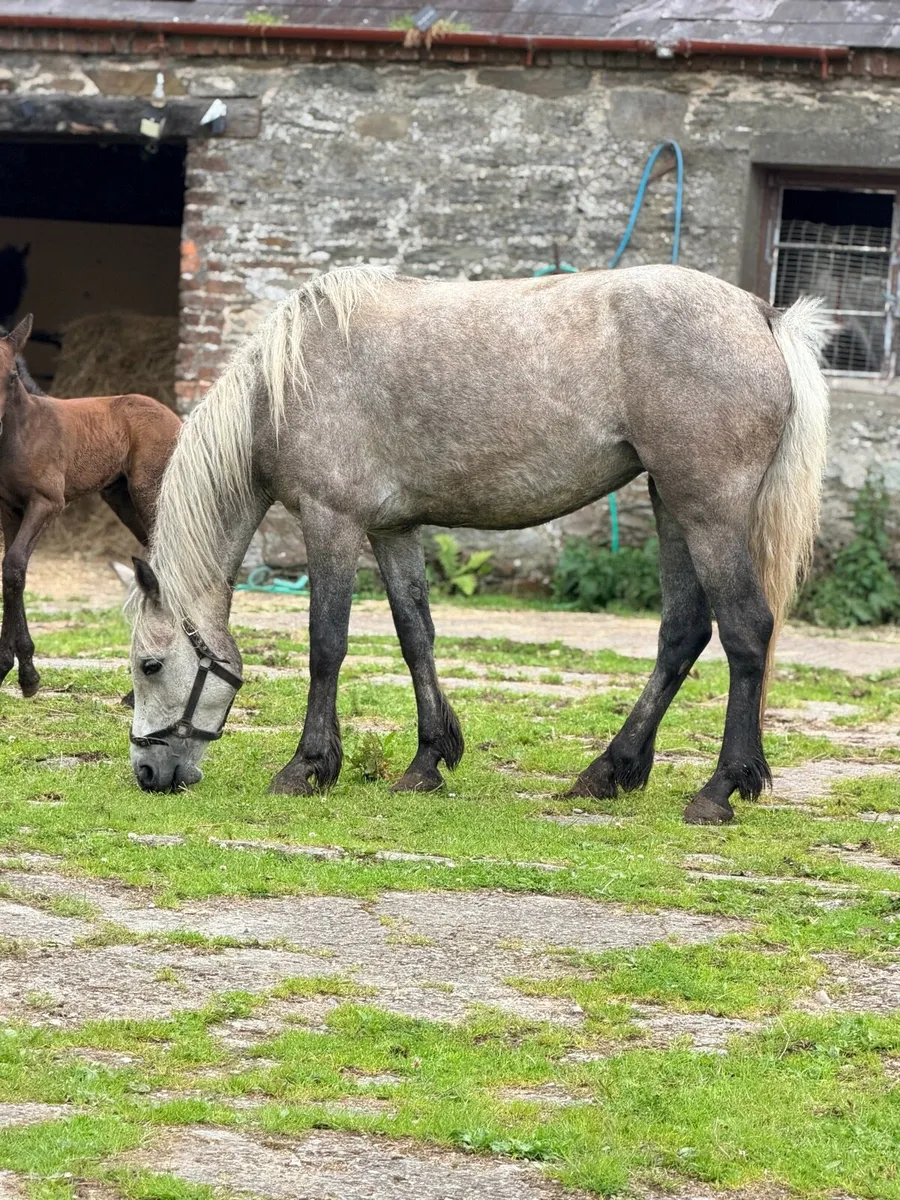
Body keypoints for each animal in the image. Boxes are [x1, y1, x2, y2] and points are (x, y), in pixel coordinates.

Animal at [0, 315, 182, 698]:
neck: (20, 433)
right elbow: (10, 571)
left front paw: (27, 675)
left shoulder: (47, 503)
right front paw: (6, 666)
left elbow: (15, 566)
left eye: (10, 376)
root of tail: (174, 418)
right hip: (121, 499)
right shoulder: (9, 508)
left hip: (150, 493)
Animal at [128, 264, 829, 825]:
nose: (147, 774)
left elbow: (326, 645)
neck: (284, 384)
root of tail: (761, 314)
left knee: (745, 632)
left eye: (149, 666)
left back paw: (719, 790)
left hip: (708, 510)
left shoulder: (332, 523)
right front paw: (427, 762)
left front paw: (308, 766)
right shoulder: (391, 529)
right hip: (671, 505)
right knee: (682, 633)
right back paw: (608, 771)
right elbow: (416, 635)